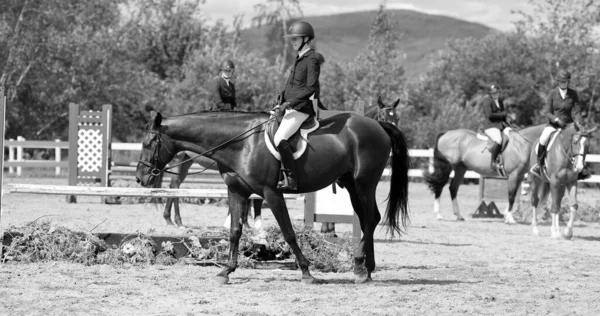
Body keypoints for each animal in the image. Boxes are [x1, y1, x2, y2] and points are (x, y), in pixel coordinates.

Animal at [137, 110, 410, 284]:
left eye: (149, 143)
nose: (140, 178)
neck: (241, 144)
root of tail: (377, 125)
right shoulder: (237, 191)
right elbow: (235, 230)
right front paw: (226, 270)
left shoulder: (271, 193)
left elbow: (288, 231)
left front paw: (306, 272)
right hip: (351, 184)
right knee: (367, 220)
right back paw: (365, 269)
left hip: (365, 183)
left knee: (370, 219)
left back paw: (360, 266)